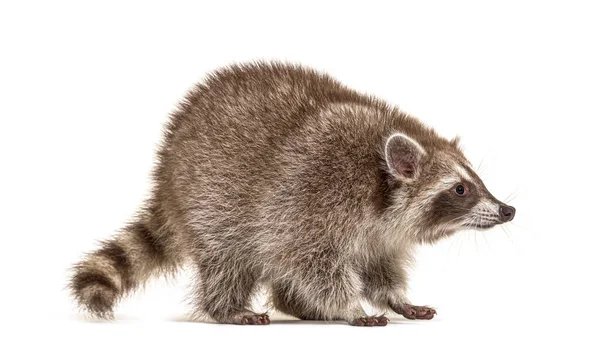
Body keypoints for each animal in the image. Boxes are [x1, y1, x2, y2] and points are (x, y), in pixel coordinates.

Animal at [69, 60, 516, 326]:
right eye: (460, 189)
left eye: (476, 181)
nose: (508, 210)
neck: (380, 191)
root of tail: (165, 171)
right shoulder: (313, 198)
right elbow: (314, 264)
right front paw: (349, 305)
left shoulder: (379, 235)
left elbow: (379, 268)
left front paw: (395, 298)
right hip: (211, 201)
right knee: (227, 261)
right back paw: (227, 307)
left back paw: (294, 305)